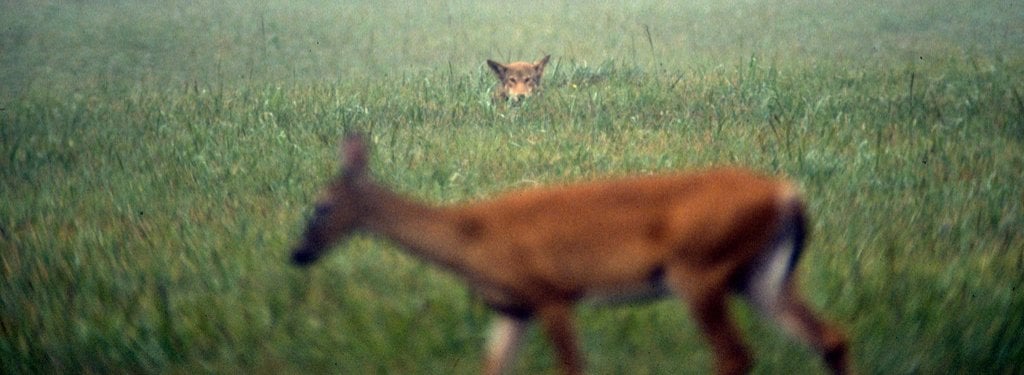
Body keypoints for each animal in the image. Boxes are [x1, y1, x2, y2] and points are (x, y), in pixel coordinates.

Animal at [288, 135, 847, 375]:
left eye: (320, 206)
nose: (297, 254)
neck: (469, 237)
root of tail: (788, 195)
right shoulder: (512, 308)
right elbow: (491, 370)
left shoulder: (552, 293)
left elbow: (572, 367)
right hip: (762, 276)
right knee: (831, 338)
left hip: (700, 270)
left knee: (735, 355)